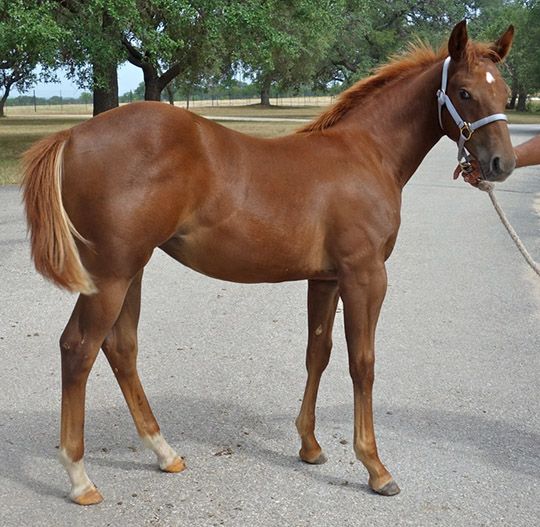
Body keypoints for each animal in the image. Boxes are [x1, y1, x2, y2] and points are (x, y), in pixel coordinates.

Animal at [22, 22, 516, 506]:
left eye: (506, 91)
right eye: (466, 92)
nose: (502, 164)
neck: (365, 153)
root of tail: (72, 136)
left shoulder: (325, 279)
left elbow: (318, 354)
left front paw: (310, 446)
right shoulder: (365, 276)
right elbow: (362, 362)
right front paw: (375, 468)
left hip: (130, 271)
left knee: (120, 347)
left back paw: (165, 453)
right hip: (111, 274)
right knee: (79, 348)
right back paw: (80, 478)